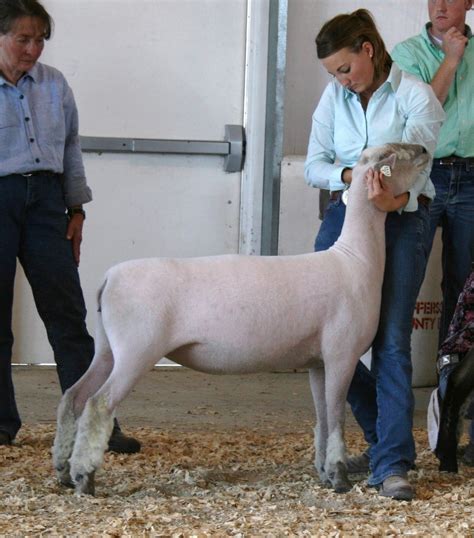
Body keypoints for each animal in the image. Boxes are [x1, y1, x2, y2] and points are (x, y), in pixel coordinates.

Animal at [51, 142, 430, 494]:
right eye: (395, 152)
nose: (426, 149)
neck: (356, 260)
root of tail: (108, 278)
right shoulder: (342, 353)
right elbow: (336, 417)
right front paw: (338, 477)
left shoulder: (317, 362)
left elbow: (323, 418)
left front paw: (324, 471)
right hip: (136, 350)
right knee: (98, 405)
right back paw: (84, 477)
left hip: (107, 349)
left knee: (74, 396)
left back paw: (63, 469)